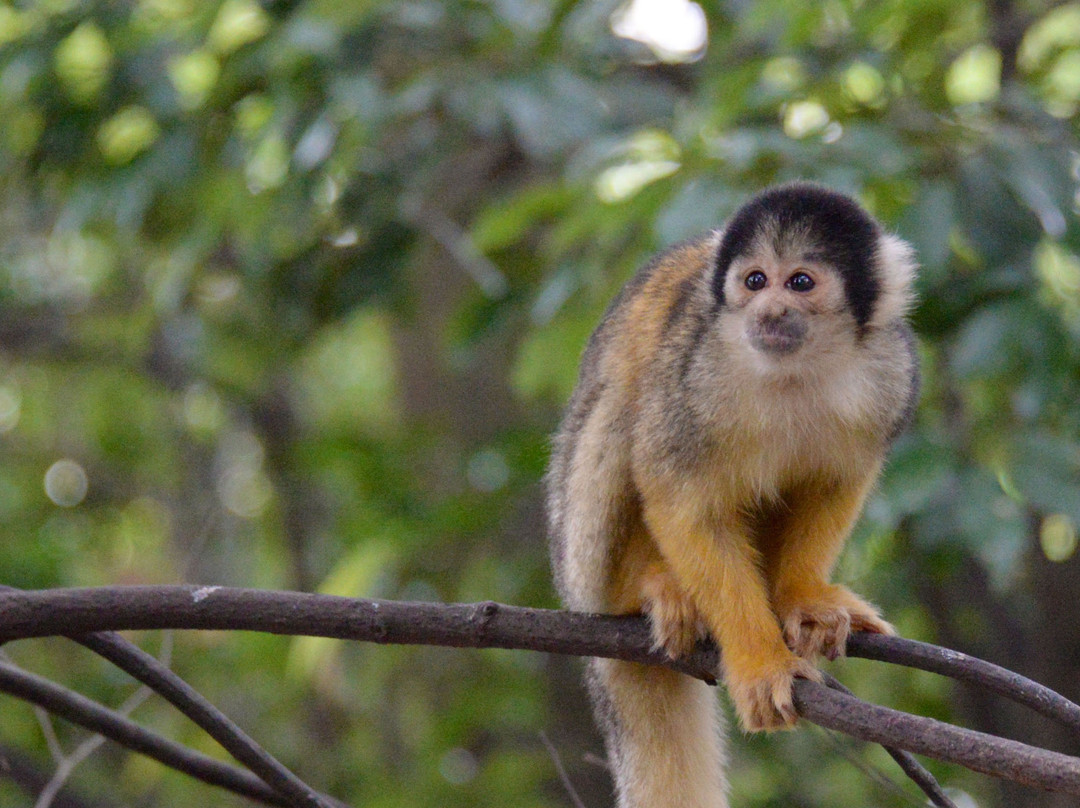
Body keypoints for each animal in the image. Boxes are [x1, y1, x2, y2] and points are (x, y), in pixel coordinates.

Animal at [548, 182, 920, 808]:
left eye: (800, 282)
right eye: (754, 280)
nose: (768, 312)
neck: (797, 368)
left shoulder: (891, 372)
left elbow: (836, 481)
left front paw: (803, 599)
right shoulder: (696, 374)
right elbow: (679, 496)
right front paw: (759, 663)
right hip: (579, 559)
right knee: (624, 409)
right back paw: (644, 585)